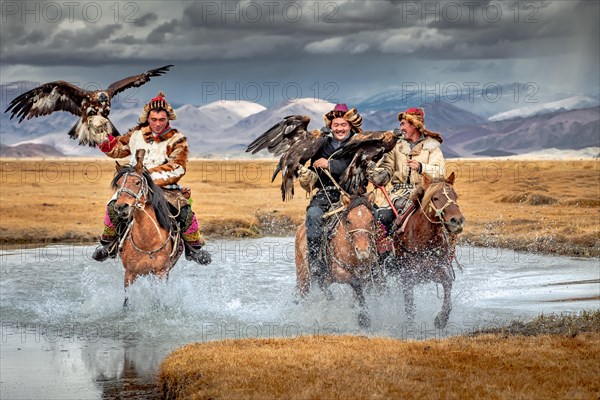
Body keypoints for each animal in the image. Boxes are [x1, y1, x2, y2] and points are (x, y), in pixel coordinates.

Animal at [110, 150, 180, 306]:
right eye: (118, 184)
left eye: (137, 182)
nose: (121, 207)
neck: (147, 242)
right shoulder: (129, 274)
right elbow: (126, 302)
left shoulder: (160, 273)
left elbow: (158, 300)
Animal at [296, 194, 380, 328]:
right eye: (349, 221)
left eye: (371, 220)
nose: (363, 251)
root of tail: (300, 230)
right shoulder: (337, 272)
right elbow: (356, 284)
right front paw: (364, 319)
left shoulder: (365, 275)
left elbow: (358, 294)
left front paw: (360, 315)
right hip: (303, 277)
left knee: (324, 287)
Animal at [390, 173, 464, 330]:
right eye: (435, 198)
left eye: (455, 196)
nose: (457, 221)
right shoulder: (407, 277)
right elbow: (409, 307)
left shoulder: (435, 270)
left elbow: (447, 286)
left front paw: (441, 319)